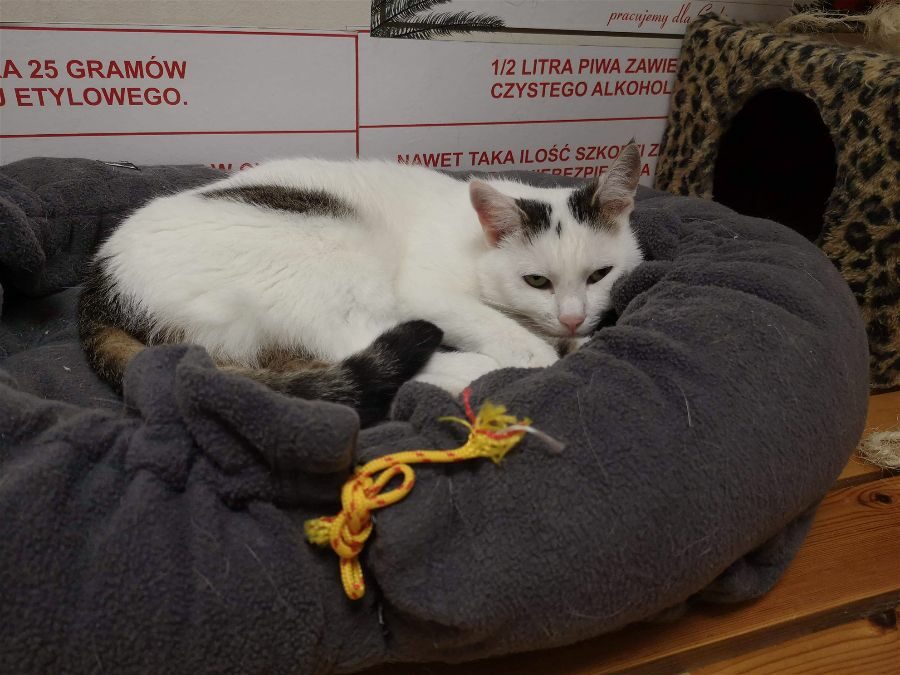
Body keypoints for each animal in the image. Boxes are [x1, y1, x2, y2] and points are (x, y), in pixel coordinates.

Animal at [79, 142, 643, 425]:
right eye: (536, 280)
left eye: (600, 275)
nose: (572, 316)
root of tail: (100, 283)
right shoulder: (424, 290)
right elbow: (508, 332)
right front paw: (545, 353)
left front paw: (574, 336)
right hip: (330, 256)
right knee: (355, 345)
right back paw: (477, 371)